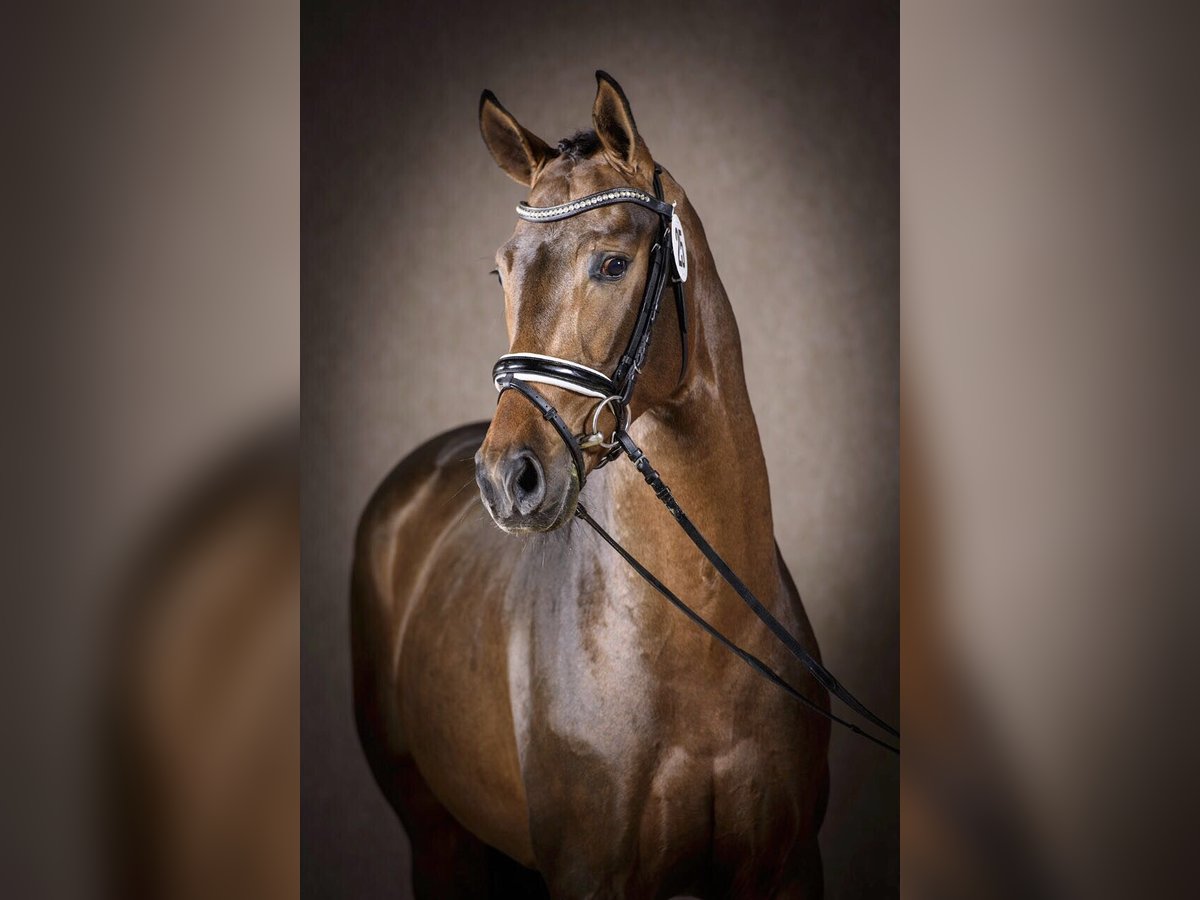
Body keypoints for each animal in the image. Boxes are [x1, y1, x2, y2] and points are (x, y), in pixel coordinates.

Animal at [352, 72, 830, 898]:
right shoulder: (589, 874)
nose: (507, 479)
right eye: (503, 270)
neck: (704, 644)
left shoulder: (790, 867)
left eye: (611, 264)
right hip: (436, 836)